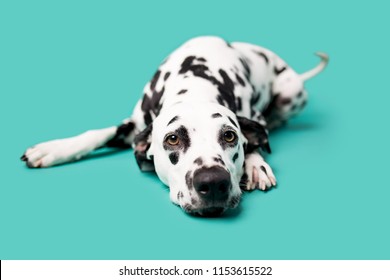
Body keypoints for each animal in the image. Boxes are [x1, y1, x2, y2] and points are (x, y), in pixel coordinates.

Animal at [20, 35, 326, 217]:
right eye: (172, 139)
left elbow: (256, 141)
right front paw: (54, 148)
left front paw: (255, 164)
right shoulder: (135, 124)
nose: (213, 182)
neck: (196, 82)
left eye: (229, 136)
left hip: (291, 91)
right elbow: (99, 133)